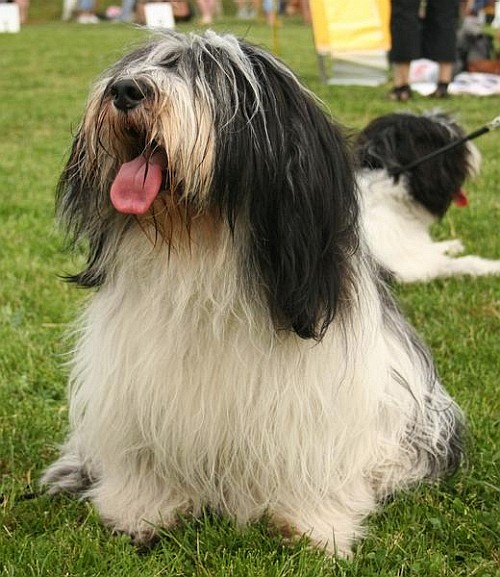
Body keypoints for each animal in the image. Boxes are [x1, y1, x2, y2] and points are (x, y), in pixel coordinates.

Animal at [41, 30, 462, 552]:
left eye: (214, 76)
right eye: (146, 64)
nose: (124, 90)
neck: (202, 250)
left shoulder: (312, 396)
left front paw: (311, 524)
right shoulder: (140, 382)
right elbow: (147, 455)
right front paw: (141, 509)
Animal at [354, 109, 500, 282]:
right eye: (454, 145)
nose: (474, 152)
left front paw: (450, 245)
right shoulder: (409, 267)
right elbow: (456, 264)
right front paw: (492, 266)